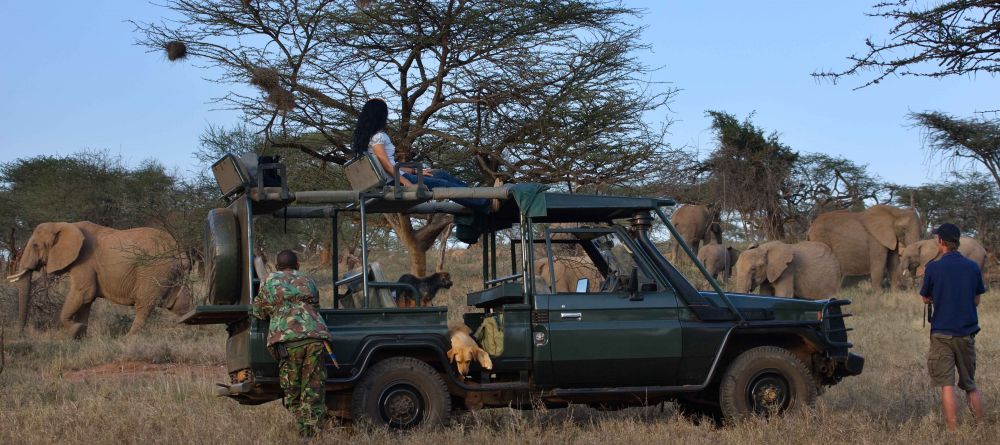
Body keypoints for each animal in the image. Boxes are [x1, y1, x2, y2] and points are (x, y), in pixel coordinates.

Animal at [7, 222, 193, 338]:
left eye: (36, 245)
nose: (21, 334)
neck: (63, 224)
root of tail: (180, 251)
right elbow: (85, 302)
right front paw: (80, 337)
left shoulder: (84, 262)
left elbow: (83, 294)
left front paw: (76, 330)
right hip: (172, 273)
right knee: (179, 304)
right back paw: (195, 332)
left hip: (154, 270)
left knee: (144, 305)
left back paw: (127, 339)